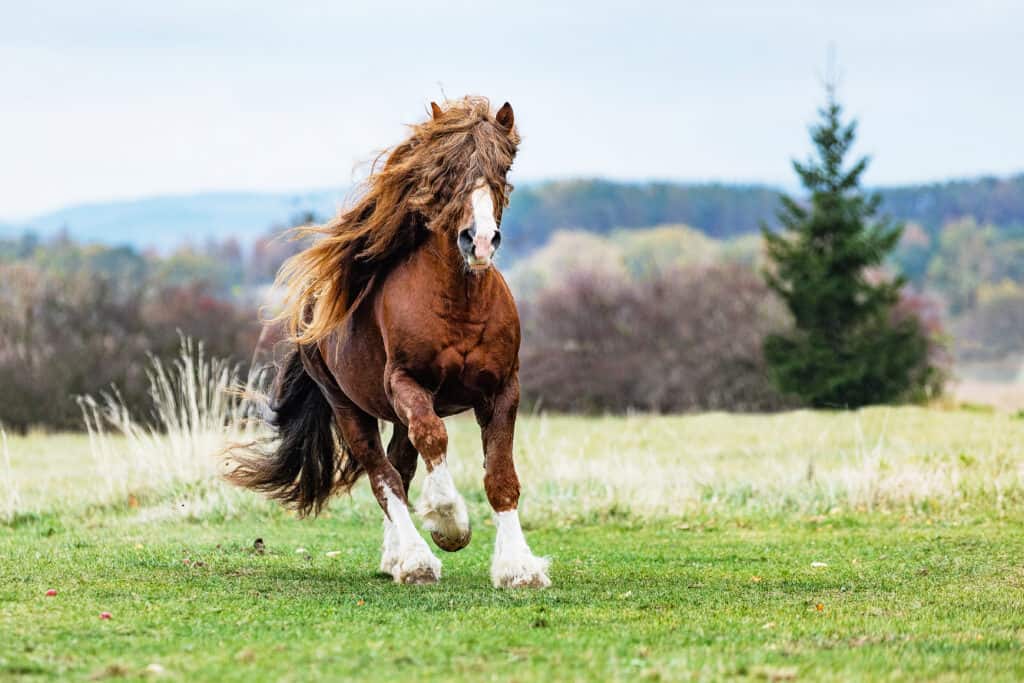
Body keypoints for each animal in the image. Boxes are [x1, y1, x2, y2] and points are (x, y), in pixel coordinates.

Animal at [228, 96, 550, 588]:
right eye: (445, 169)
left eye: (503, 166)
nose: (478, 241)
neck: (459, 303)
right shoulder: (407, 383)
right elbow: (433, 440)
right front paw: (449, 525)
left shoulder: (502, 390)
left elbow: (500, 475)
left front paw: (519, 567)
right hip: (349, 408)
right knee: (384, 477)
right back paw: (415, 561)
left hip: (395, 412)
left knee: (400, 465)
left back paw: (395, 556)